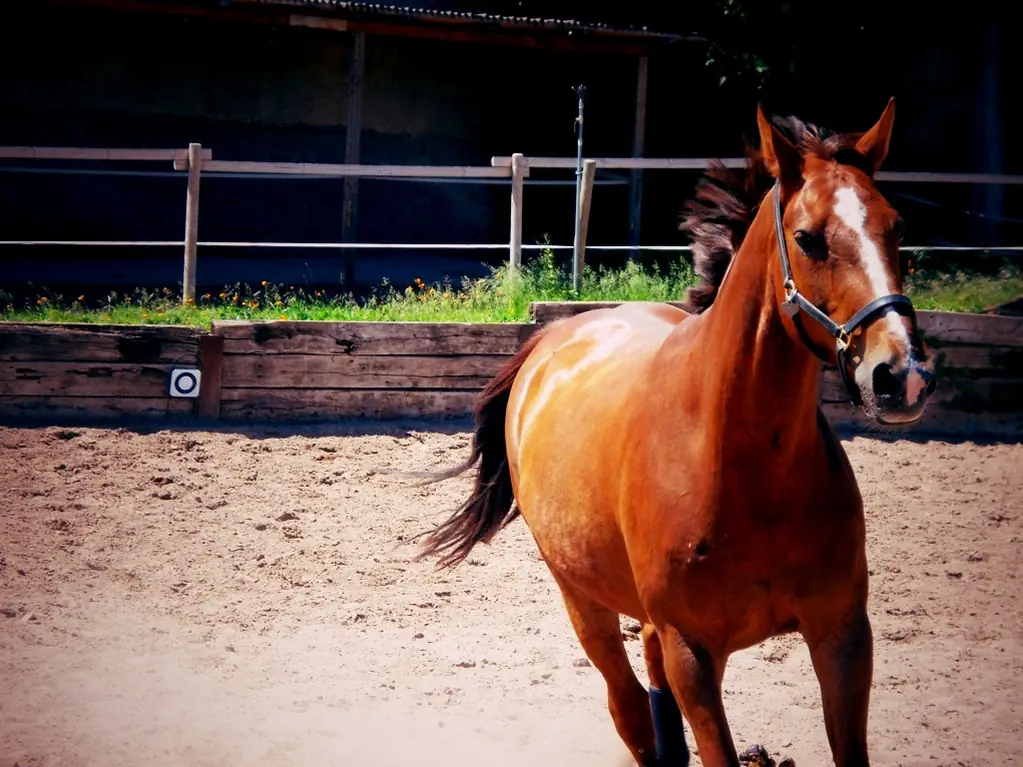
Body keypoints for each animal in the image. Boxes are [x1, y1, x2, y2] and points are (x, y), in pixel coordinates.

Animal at [415, 99, 936, 767]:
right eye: (807, 238)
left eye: (897, 228)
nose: (903, 375)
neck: (748, 470)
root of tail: (552, 339)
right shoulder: (694, 653)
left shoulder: (844, 635)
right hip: (582, 598)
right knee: (629, 704)